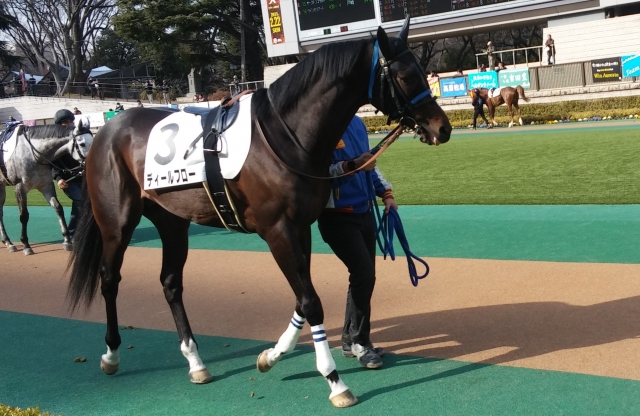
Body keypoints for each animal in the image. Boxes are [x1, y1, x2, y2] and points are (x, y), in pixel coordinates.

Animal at [0, 120, 92, 255]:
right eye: (82, 144)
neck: (31, 153)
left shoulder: (46, 185)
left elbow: (58, 208)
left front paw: (67, 240)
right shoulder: (19, 187)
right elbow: (24, 215)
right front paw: (26, 244)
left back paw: (7, 241)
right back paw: (9, 242)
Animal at [67, 16, 451, 408]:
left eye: (421, 71)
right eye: (406, 76)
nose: (444, 127)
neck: (284, 136)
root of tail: (104, 131)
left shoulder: (300, 228)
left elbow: (302, 300)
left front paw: (272, 355)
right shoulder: (277, 230)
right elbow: (310, 302)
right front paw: (334, 380)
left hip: (172, 221)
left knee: (171, 283)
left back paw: (195, 361)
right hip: (117, 223)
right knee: (109, 279)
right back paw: (111, 355)